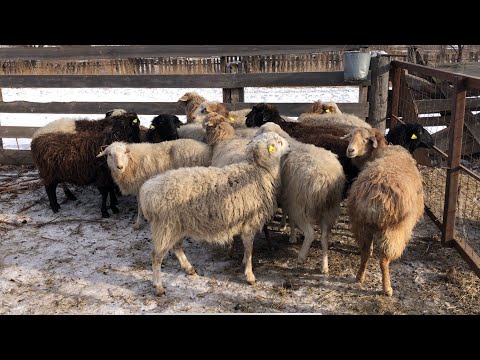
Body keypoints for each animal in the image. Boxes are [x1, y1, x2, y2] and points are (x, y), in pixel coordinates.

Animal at [139, 132, 288, 296]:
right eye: (279, 142)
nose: (289, 146)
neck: (258, 171)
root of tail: (147, 191)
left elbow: (247, 250)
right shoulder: (249, 223)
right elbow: (249, 250)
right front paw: (249, 275)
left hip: (176, 225)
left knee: (176, 246)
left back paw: (189, 268)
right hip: (165, 226)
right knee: (156, 256)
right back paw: (158, 286)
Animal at [255, 122, 344, 272]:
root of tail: (326, 180)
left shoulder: (291, 199)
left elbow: (290, 218)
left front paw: (290, 235)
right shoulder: (288, 196)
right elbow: (288, 215)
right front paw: (286, 229)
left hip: (302, 206)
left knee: (310, 233)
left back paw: (301, 257)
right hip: (329, 210)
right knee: (324, 237)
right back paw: (324, 266)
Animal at [344, 128, 424, 296]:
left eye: (365, 139)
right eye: (351, 136)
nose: (350, 150)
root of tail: (374, 198)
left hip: (361, 225)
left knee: (365, 252)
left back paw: (360, 277)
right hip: (393, 229)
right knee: (384, 260)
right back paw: (387, 288)